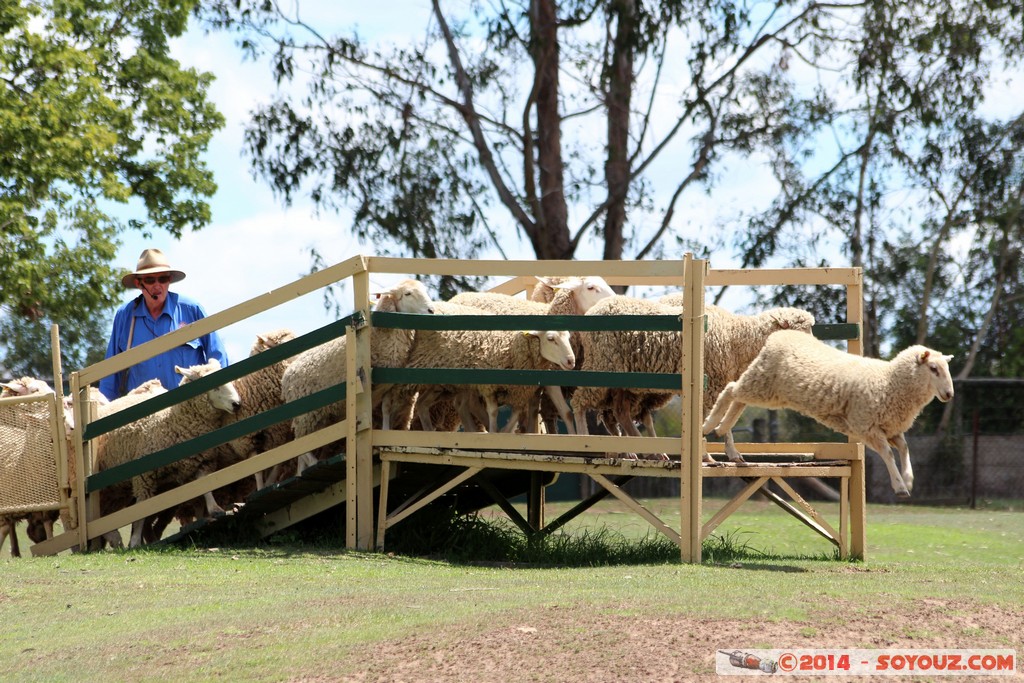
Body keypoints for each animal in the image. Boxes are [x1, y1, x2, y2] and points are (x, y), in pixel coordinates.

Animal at [90, 360, 241, 548]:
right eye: (215, 385)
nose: (237, 404)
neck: (173, 423)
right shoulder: (143, 477)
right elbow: (140, 512)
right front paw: (135, 541)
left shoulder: (201, 462)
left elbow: (206, 487)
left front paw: (216, 509)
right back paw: (114, 538)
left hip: (121, 488)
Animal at [280, 278, 436, 475]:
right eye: (407, 293)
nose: (431, 311)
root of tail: (287, 374)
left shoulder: (387, 385)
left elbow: (385, 409)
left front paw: (385, 433)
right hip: (306, 414)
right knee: (301, 444)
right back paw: (316, 462)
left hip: (320, 415)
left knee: (306, 446)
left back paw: (302, 471)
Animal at [700, 331, 954, 497]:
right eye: (933, 369)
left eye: (946, 368)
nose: (949, 394)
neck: (889, 382)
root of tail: (780, 334)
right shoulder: (866, 426)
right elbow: (889, 454)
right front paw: (900, 486)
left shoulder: (890, 428)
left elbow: (904, 448)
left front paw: (909, 480)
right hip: (762, 381)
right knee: (730, 390)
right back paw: (709, 425)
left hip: (768, 390)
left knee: (738, 399)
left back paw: (722, 430)